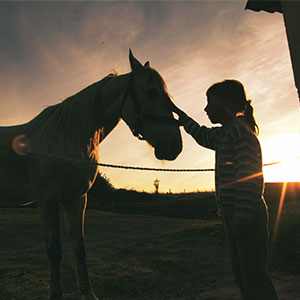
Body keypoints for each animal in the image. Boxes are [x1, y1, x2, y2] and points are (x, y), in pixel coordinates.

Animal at [0, 50, 182, 298]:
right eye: (152, 92)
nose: (175, 146)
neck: (65, 139)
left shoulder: (76, 199)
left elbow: (79, 249)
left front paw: (88, 294)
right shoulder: (47, 200)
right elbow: (54, 251)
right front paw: (56, 295)